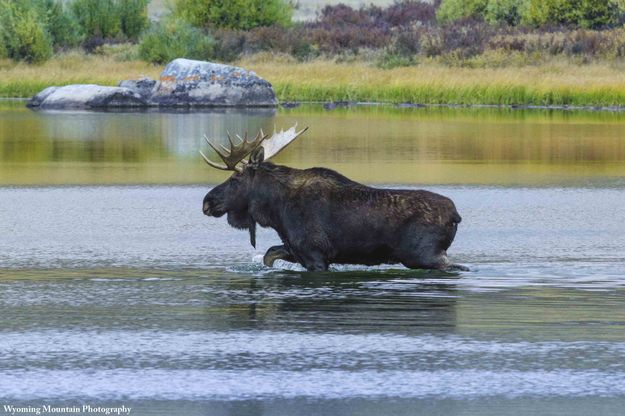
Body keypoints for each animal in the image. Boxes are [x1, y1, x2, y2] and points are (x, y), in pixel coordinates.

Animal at [200, 125, 464, 272]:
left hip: (424, 255)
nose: (207, 202)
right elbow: (268, 255)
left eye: (235, 179)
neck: (275, 212)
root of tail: (455, 215)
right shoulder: (295, 249)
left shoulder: (315, 254)